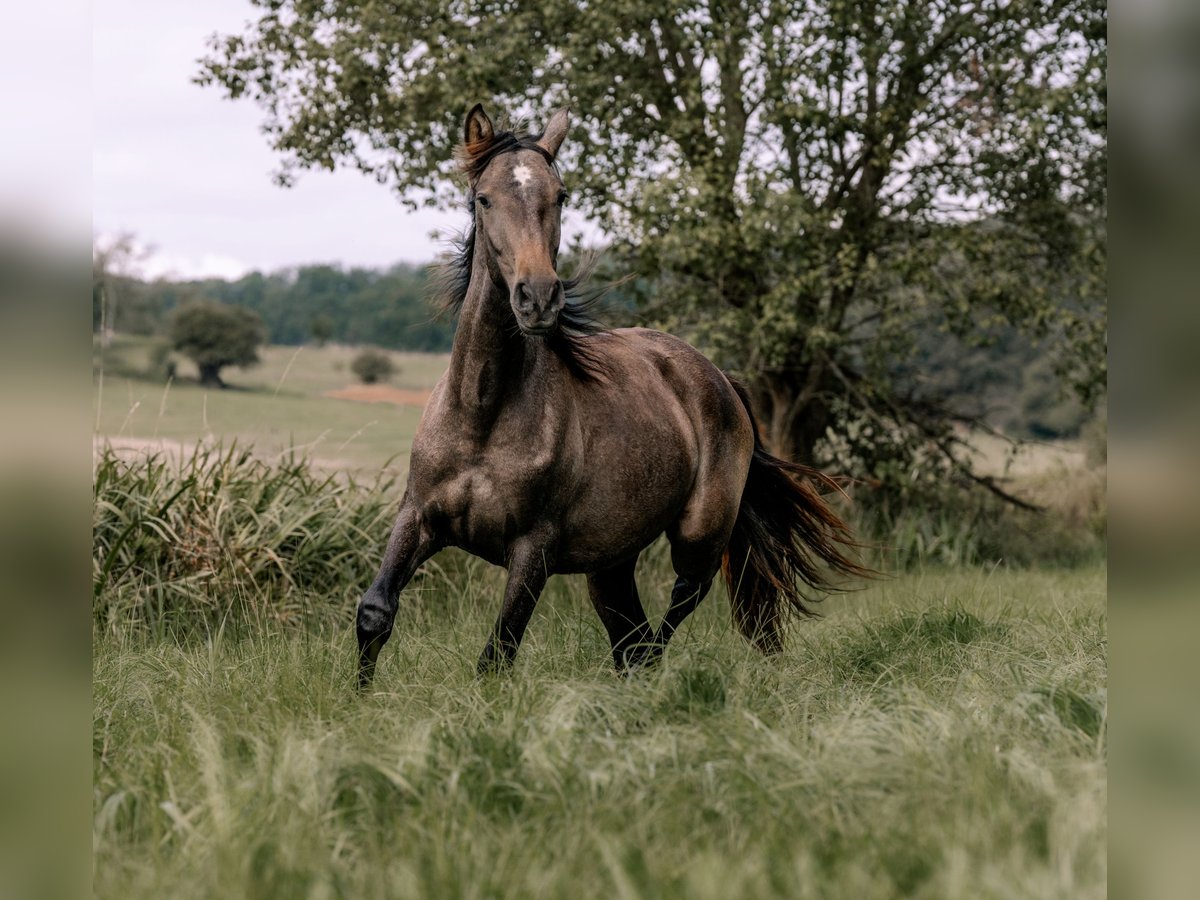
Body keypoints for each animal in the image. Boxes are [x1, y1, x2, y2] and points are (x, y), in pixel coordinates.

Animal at [350, 102, 868, 691]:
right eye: (484, 198)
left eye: (560, 195)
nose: (538, 298)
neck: (483, 414)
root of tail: (718, 378)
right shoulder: (418, 517)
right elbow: (375, 612)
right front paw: (359, 701)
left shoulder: (533, 549)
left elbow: (499, 651)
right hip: (611, 560)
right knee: (630, 634)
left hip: (699, 534)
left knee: (670, 614)